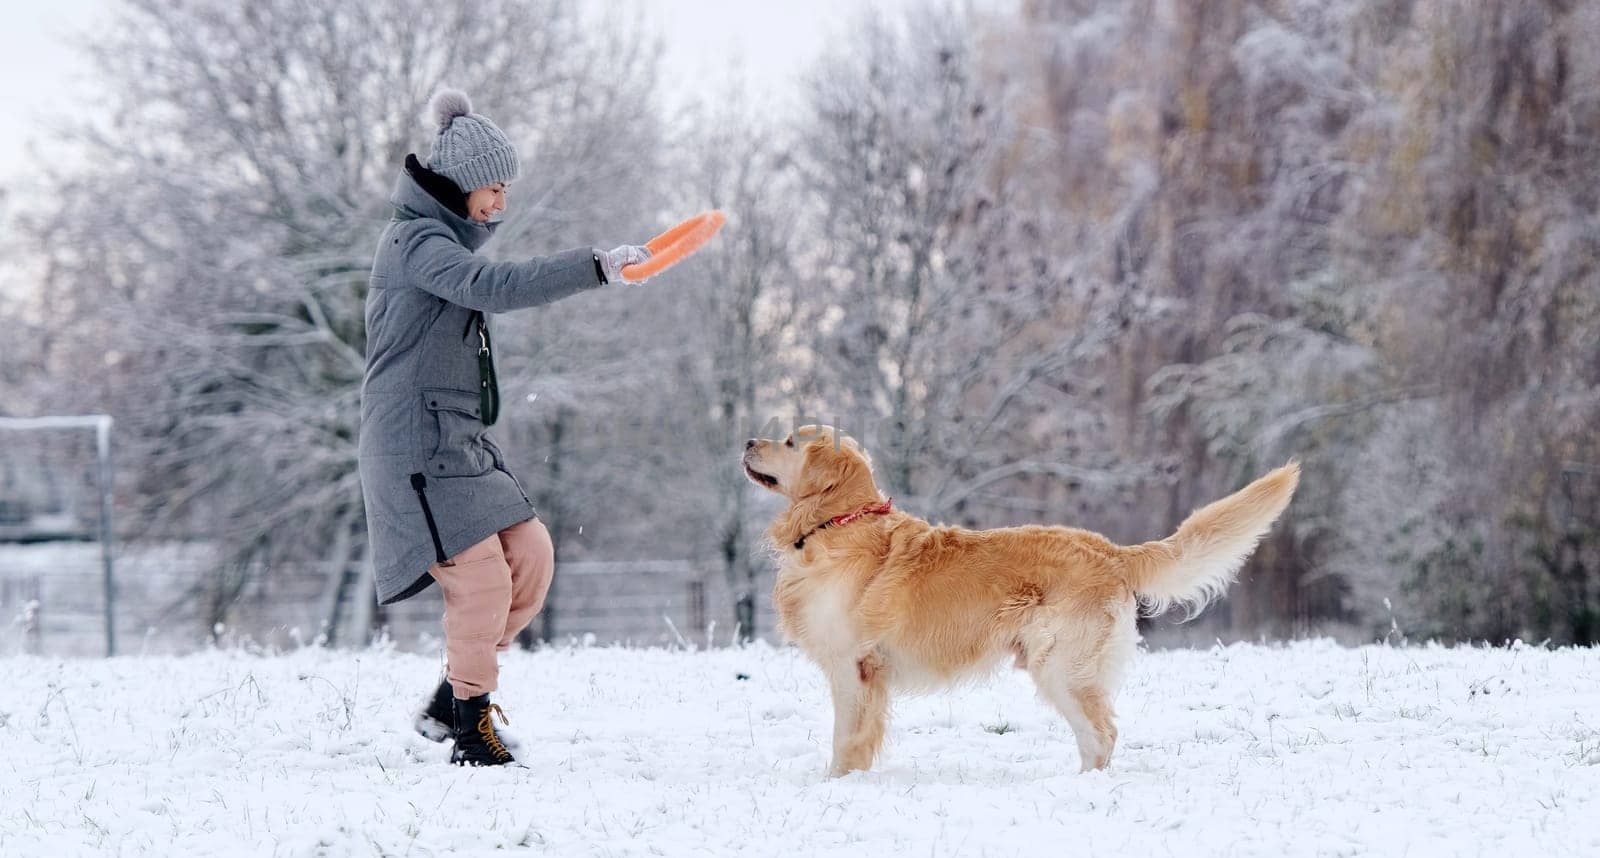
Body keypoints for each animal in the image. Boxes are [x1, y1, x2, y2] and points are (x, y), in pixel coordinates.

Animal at [745, 425, 1299, 774]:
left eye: (790, 441)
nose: (748, 440)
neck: (835, 524)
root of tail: (1110, 550)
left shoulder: (853, 668)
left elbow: (846, 740)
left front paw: (839, 783)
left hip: (1061, 666)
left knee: (1102, 733)